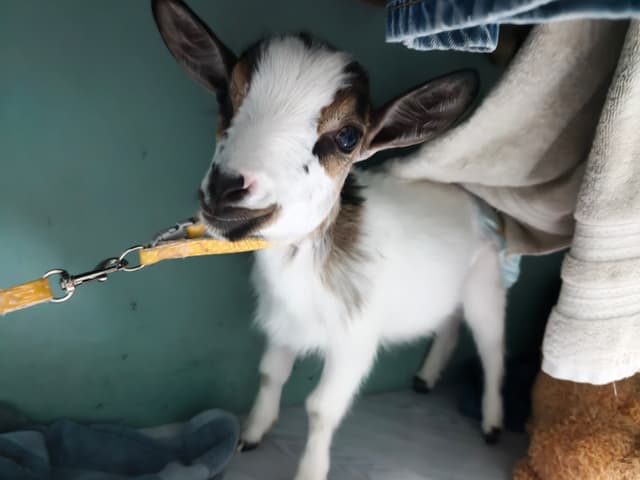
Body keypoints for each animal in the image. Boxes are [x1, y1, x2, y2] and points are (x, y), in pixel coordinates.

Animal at [152, 1, 506, 479]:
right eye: (225, 98)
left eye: (347, 137)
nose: (226, 188)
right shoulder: (283, 324)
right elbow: (271, 374)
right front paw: (252, 434)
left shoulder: (355, 342)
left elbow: (321, 409)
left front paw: (310, 470)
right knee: (448, 323)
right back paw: (426, 378)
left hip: (486, 286)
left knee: (491, 350)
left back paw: (491, 423)